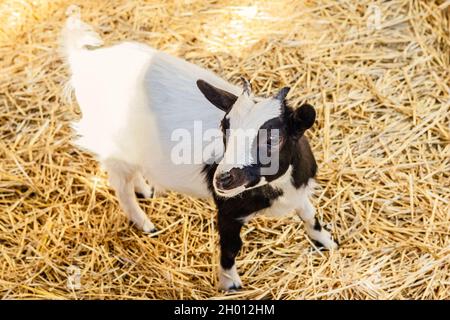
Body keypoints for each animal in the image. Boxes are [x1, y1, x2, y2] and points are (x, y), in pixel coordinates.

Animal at [60, 9, 338, 290]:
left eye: (272, 139)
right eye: (224, 127)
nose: (222, 179)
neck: (279, 187)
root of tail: (86, 60)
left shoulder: (299, 191)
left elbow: (310, 215)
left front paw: (328, 242)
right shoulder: (228, 212)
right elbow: (230, 249)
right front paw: (230, 285)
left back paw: (145, 190)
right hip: (112, 145)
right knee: (120, 187)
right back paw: (146, 223)